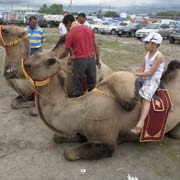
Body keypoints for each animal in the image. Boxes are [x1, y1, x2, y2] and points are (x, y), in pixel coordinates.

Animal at [7, 50, 179, 160]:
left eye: (28, 65)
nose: (9, 70)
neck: (81, 110)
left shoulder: (107, 141)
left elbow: (69, 154)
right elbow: (58, 137)